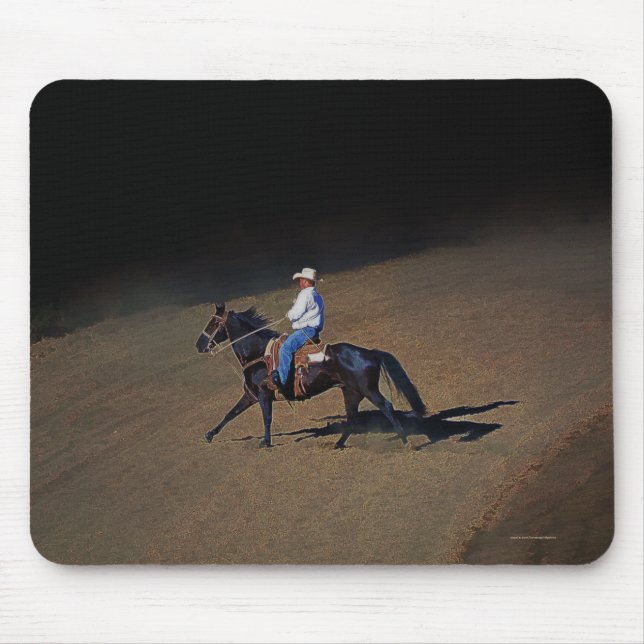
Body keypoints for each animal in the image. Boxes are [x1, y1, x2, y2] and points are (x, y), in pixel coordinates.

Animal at [195, 303, 426, 449]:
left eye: (213, 324)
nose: (199, 345)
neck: (258, 353)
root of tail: (369, 352)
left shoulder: (263, 395)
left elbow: (267, 418)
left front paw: (266, 442)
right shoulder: (250, 395)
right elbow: (230, 414)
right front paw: (209, 435)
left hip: (368, 390)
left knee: (386, 406)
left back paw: (406, 441)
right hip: (351, 392)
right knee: (352, 419)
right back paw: (337, 444)